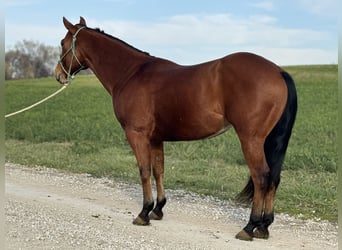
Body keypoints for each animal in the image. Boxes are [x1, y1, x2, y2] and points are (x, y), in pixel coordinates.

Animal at [54, 17, 296, 240]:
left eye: (62, 43)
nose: (58, 75)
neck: (131, 73)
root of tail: (278, 72)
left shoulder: (137, 135)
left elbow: (144, 171)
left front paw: (143, 212)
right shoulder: (155, 139)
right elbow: (158, 170)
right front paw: (158, 209)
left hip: (251, 139)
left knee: (261, 177)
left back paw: (250, 226)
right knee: (273, 178)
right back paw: (264, 227)